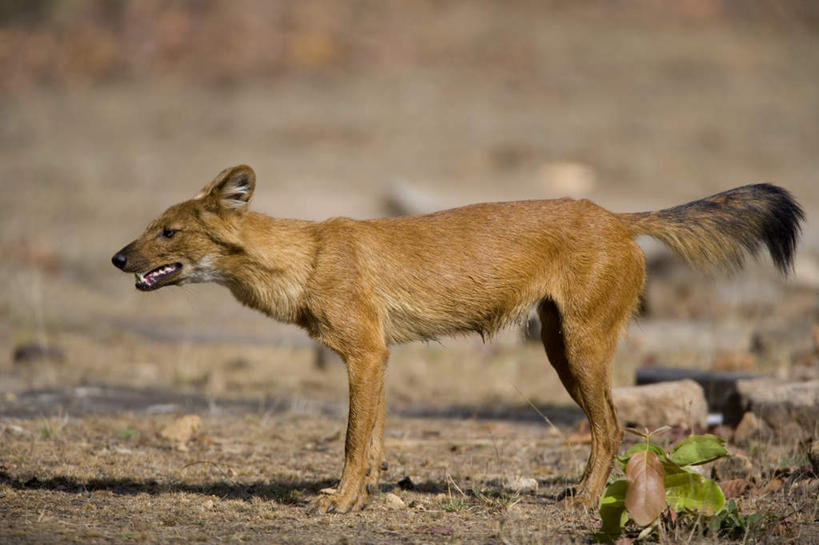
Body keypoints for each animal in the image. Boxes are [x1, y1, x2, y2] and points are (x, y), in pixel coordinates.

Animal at [112, 164, 804, 512]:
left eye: (169, 232)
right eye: (150, 227)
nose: (117, 258)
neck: (304, 259)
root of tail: (616, 215)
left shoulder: (365, 353)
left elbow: (351, 442)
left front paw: (340, 504)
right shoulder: (379, 357)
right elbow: (374, 440)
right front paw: (364, 495)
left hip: (580, 349)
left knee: (612, 426)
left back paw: (582, 503)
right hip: (558, 345)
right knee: (608, 426)